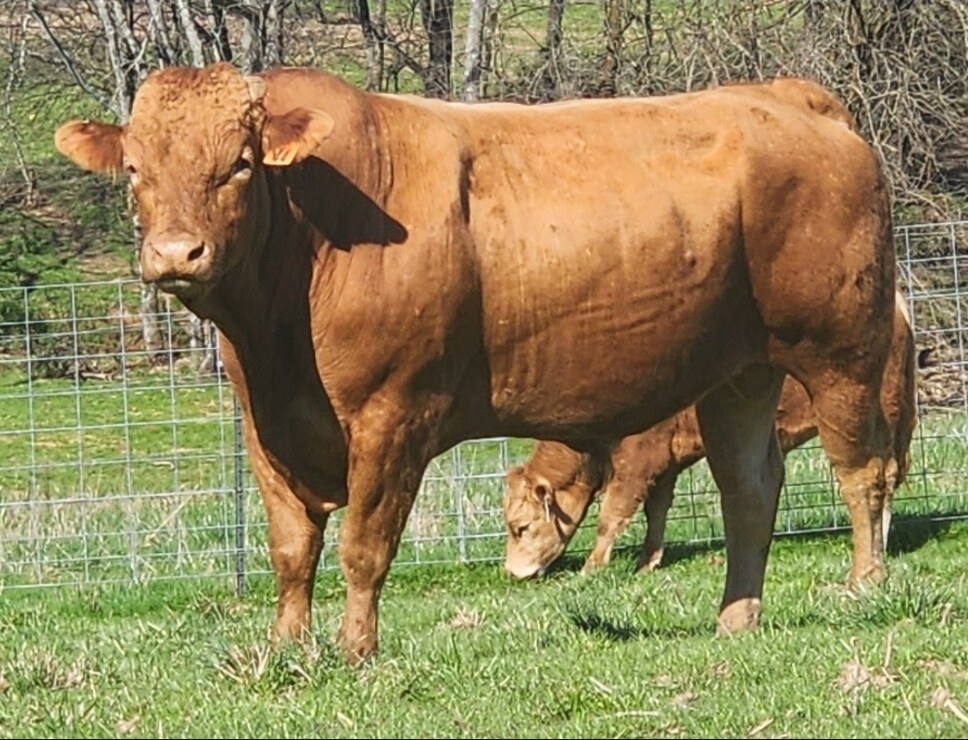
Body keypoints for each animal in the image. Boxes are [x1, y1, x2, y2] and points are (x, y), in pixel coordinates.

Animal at [503, 290, 918, 578]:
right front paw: (647, 562)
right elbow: (657, 511)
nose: (511, 572)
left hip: (877, 411)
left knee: (881, 475)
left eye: (520, 527)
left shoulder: (637, 461)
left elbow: (612, 516)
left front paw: (591, 568)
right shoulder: (665, 463)